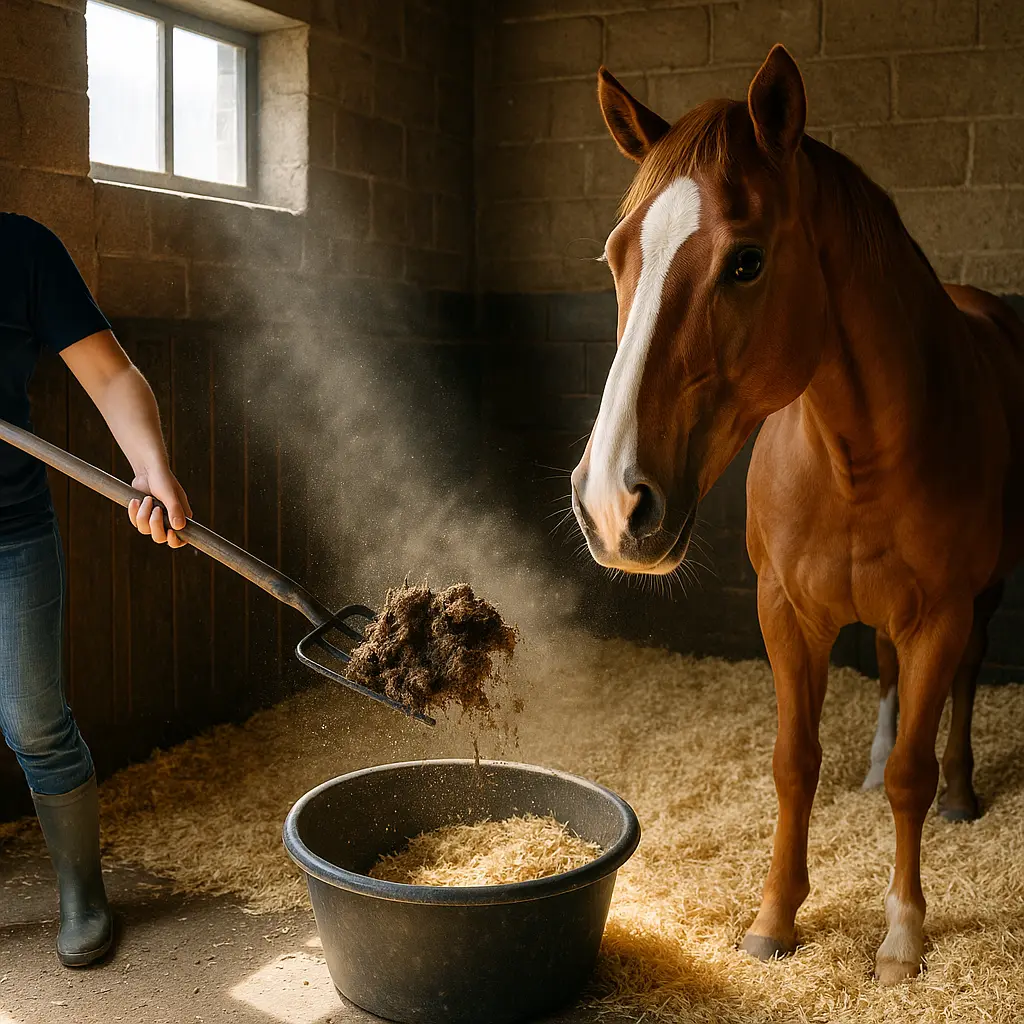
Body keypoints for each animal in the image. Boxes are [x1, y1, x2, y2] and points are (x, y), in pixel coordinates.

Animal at [570, 43, 1024, 984]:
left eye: (746, 261)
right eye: (616, 256)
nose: (610, 503)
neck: (856, 455)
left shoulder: (940, 615)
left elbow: (913, 779)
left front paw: (902, 936)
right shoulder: (785, 611)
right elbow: (794, 763)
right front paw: (774, 918)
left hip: (983, 598)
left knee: (962, 689)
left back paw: (963, 791)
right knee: (885, 678)